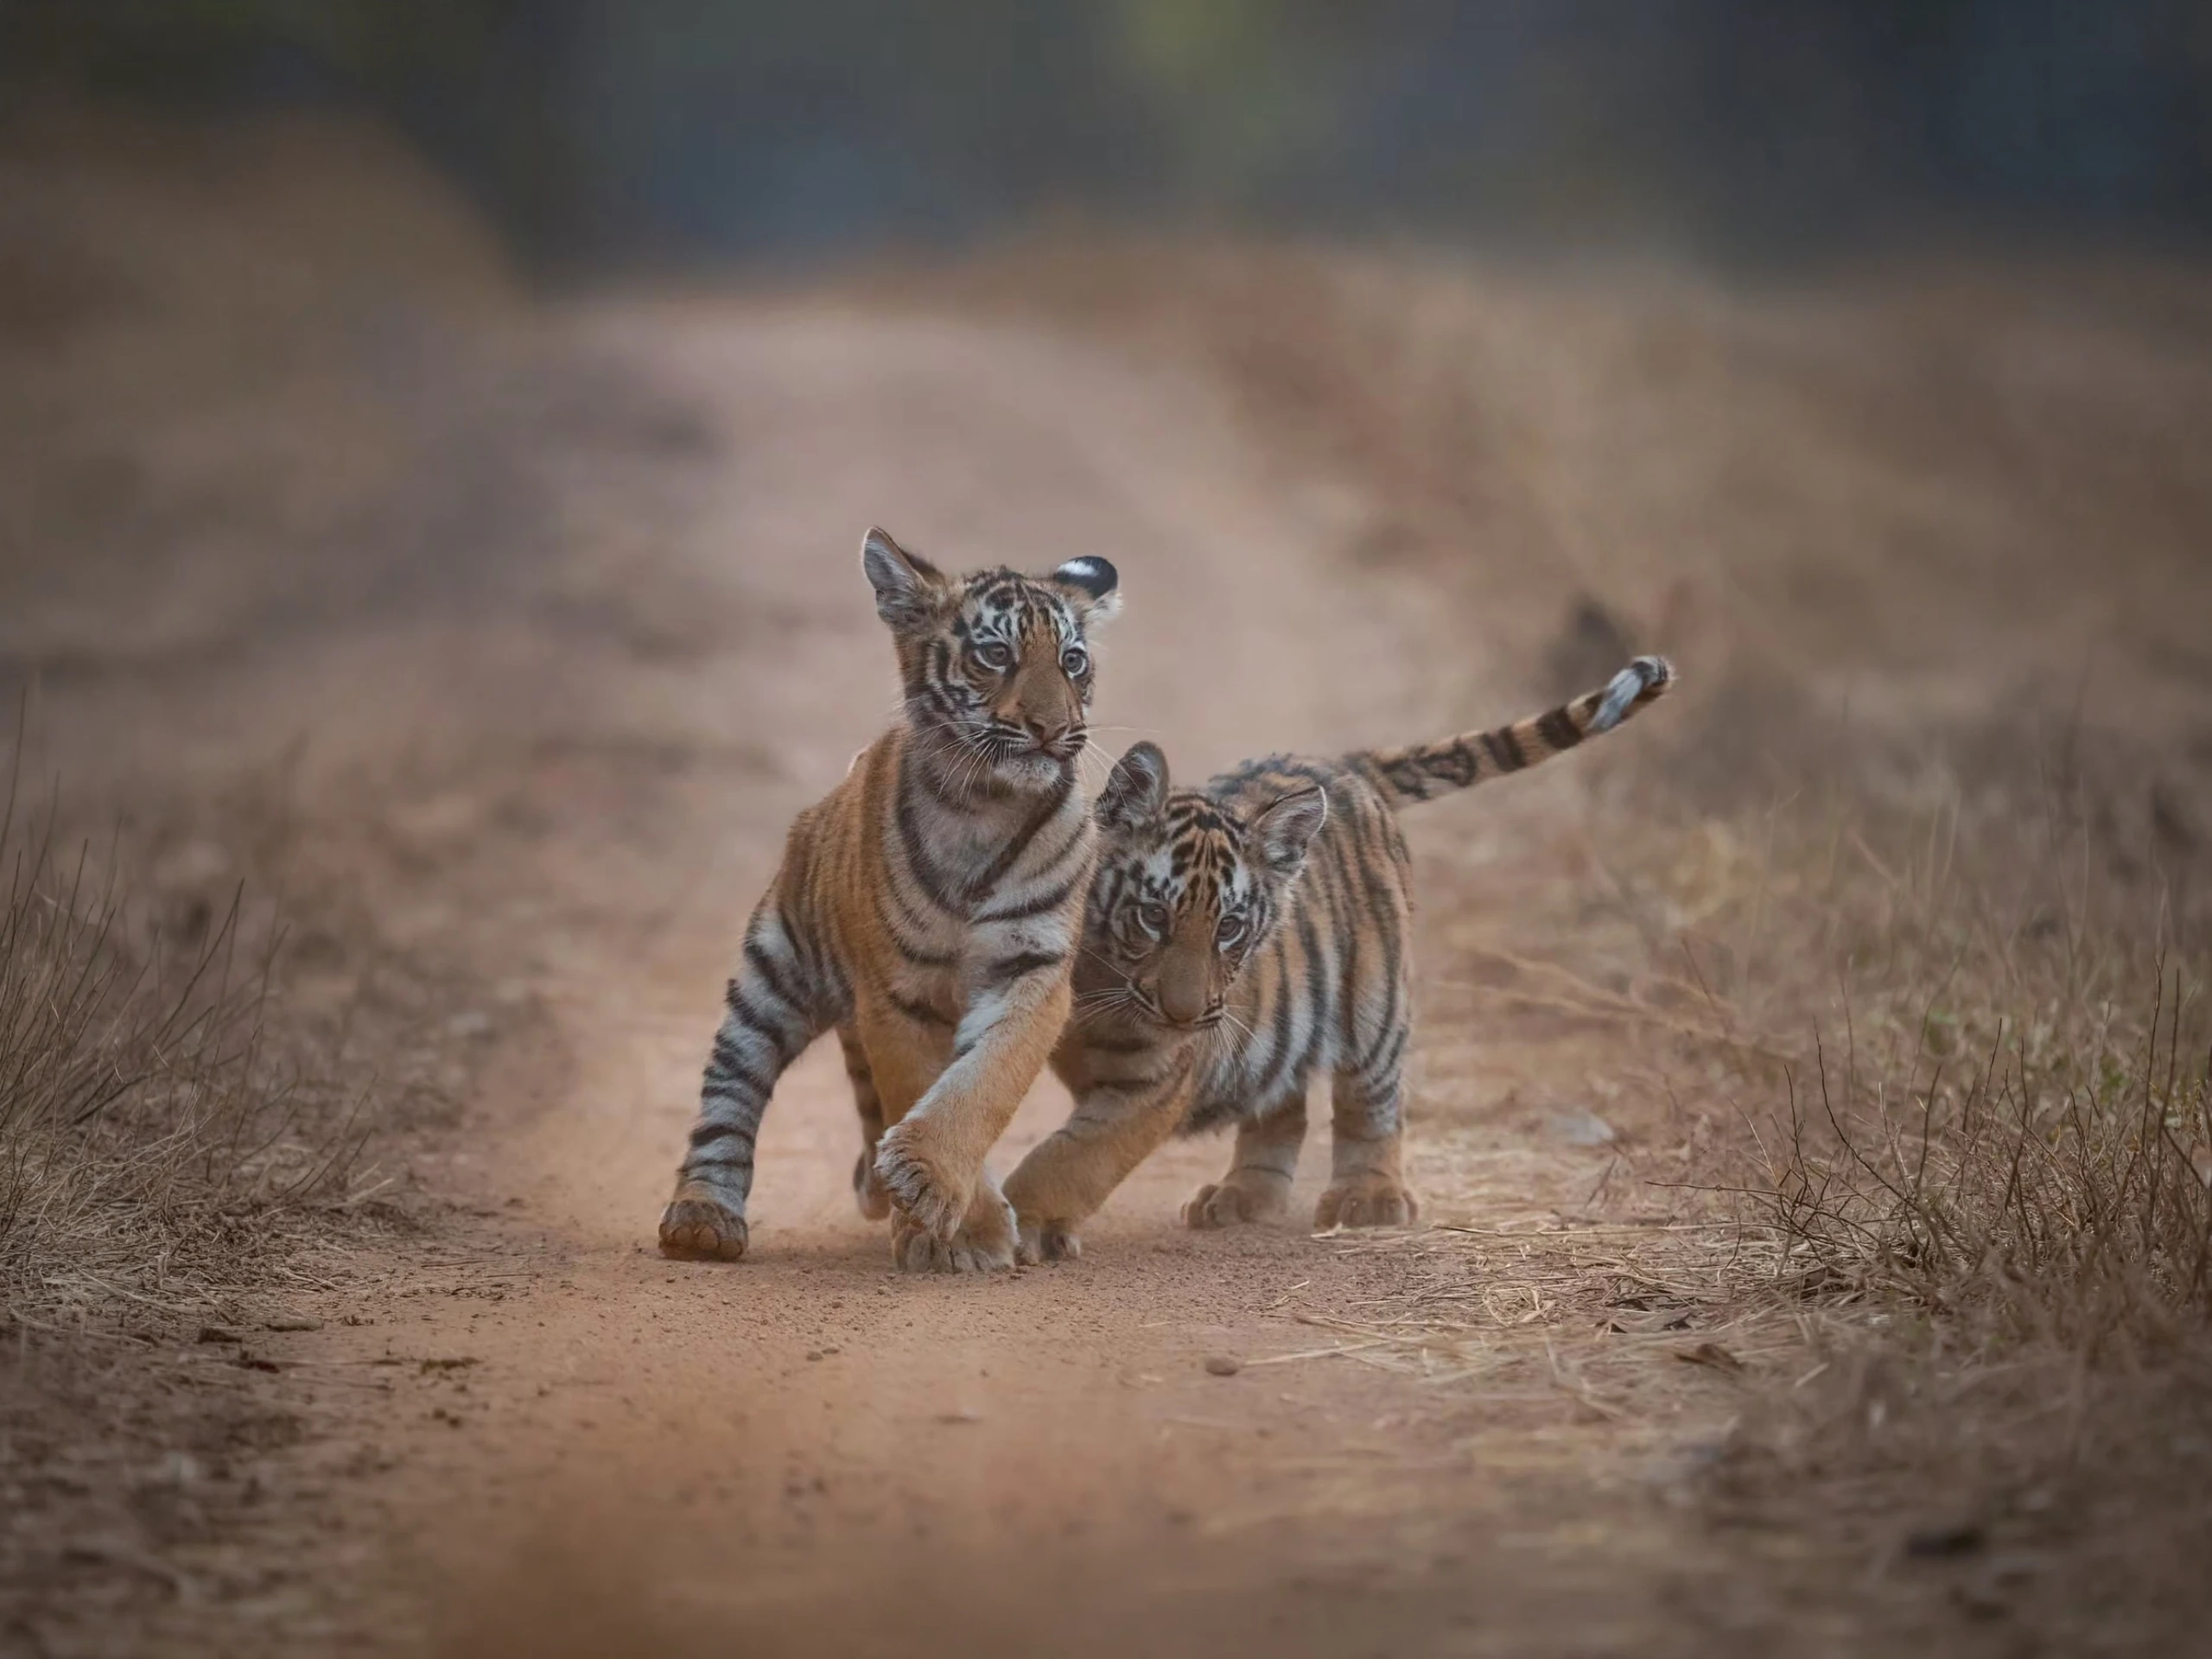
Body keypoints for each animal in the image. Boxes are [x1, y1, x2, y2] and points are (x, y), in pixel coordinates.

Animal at [659, 527, 1120, 1273]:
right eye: (996, 654)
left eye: (1072, 661)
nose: (1053, 728)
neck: (982, 806)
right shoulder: (895, 993)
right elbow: (918, 1079)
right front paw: (961, 1230)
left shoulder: (1034, 973)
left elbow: (985, 1081)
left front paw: (930, 1189)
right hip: (772, 976)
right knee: (728, 1096)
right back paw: (703, 1218)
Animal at [1000, 654, 1675, 1262]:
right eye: (1153, 916)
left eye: (1229, 929)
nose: (1184, 1015)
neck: (1100, 978)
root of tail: (1343, 765)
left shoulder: (1157, 1078)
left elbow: (1074, 1156)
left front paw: (1024, 1221)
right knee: (1281, 1105)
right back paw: (1243, 1197)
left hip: (1376, 1009)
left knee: (1368, 1107)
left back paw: (1367, 1198)